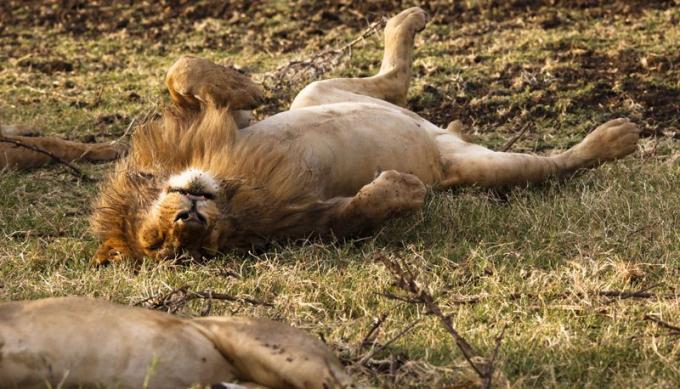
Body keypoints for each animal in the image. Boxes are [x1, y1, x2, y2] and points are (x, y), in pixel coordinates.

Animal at [90, 7, 636, 264]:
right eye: (164, 245)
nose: (190, 219)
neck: (226, 183)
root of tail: (443, 136)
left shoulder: (216, 129)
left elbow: (182, 72)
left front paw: (246, 86)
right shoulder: (307, 218)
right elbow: (363, 209)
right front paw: (403, 190)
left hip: (314, 93)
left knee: (390, 81)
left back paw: (405, 21)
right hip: (479, 167)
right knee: (550, 164)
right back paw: (615, 138)